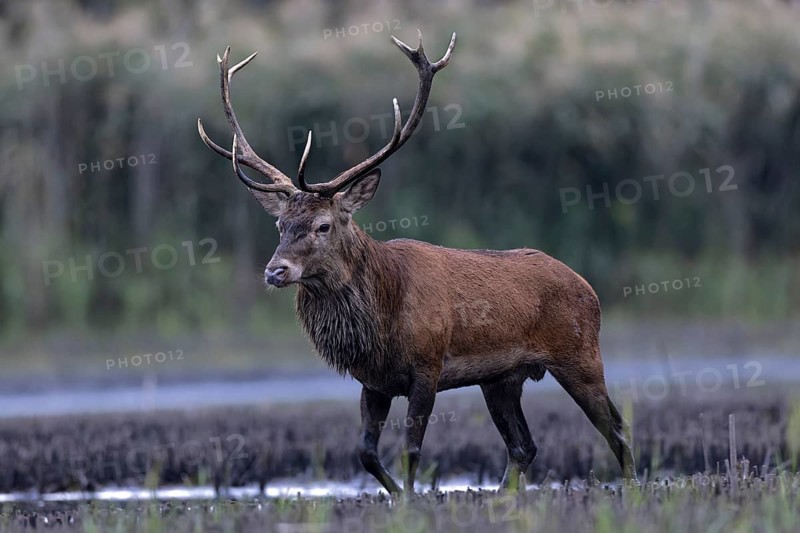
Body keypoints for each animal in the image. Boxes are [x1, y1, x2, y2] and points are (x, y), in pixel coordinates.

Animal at [197, 31, 637, 495]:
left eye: (322, 225)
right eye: (280, 223)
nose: (275, 271)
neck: (381, 321)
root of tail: (588, 287)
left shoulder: (427, 367)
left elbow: (411, 452)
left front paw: (412, 499)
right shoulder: (373, 381)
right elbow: (366, 453)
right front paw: (394, 495)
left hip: (580, 355)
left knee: (617, 430)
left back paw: (631, 490)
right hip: (503, 378)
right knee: (524, 446)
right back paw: (502, 498)